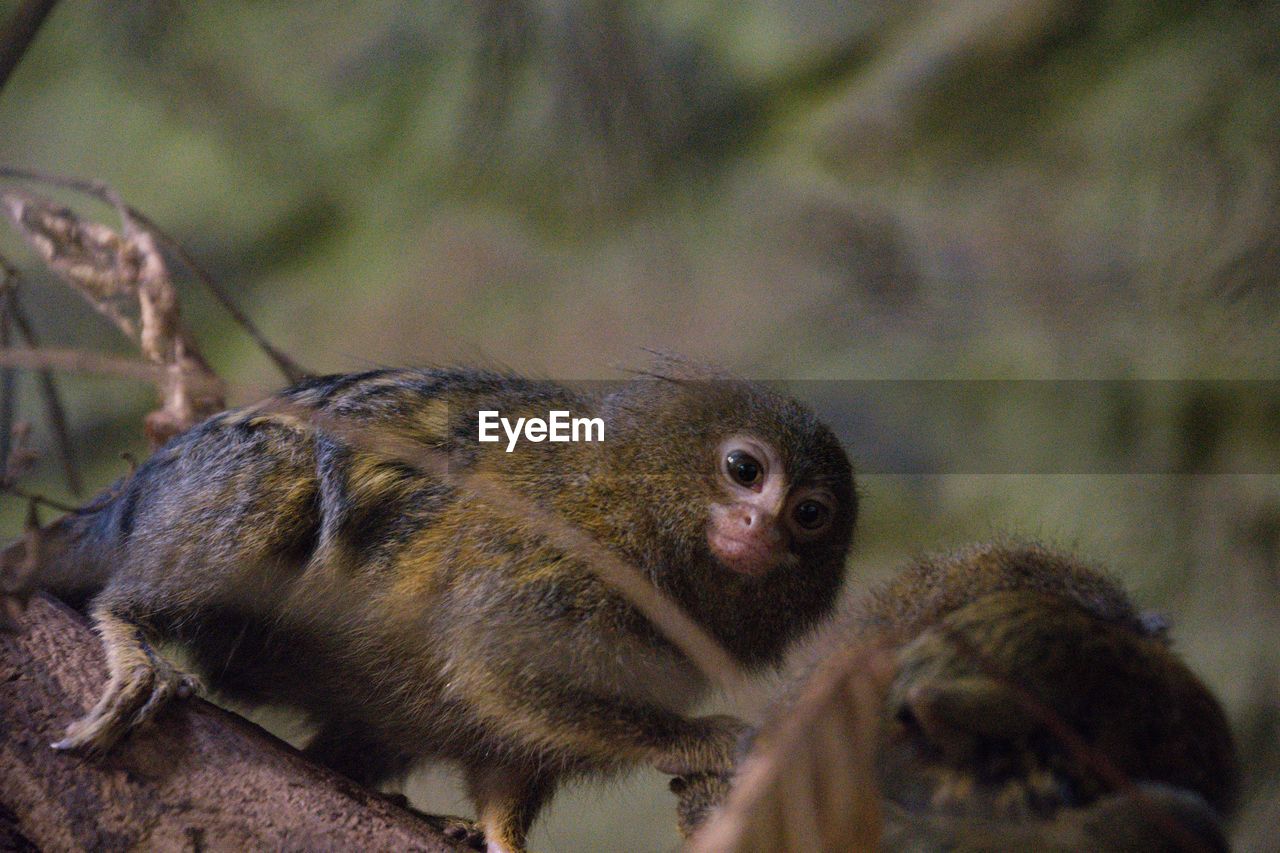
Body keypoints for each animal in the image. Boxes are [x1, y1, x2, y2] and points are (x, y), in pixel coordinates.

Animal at [5, 361, 860, 850]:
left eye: (810, 514)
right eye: (744, 469)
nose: (760, 529)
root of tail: (137, 487)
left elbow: (512, 754)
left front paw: (500, 839)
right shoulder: (560, 554)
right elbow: (496, 664)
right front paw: (704, 739)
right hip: (208, 489)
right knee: (272, 478)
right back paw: (129, 629)